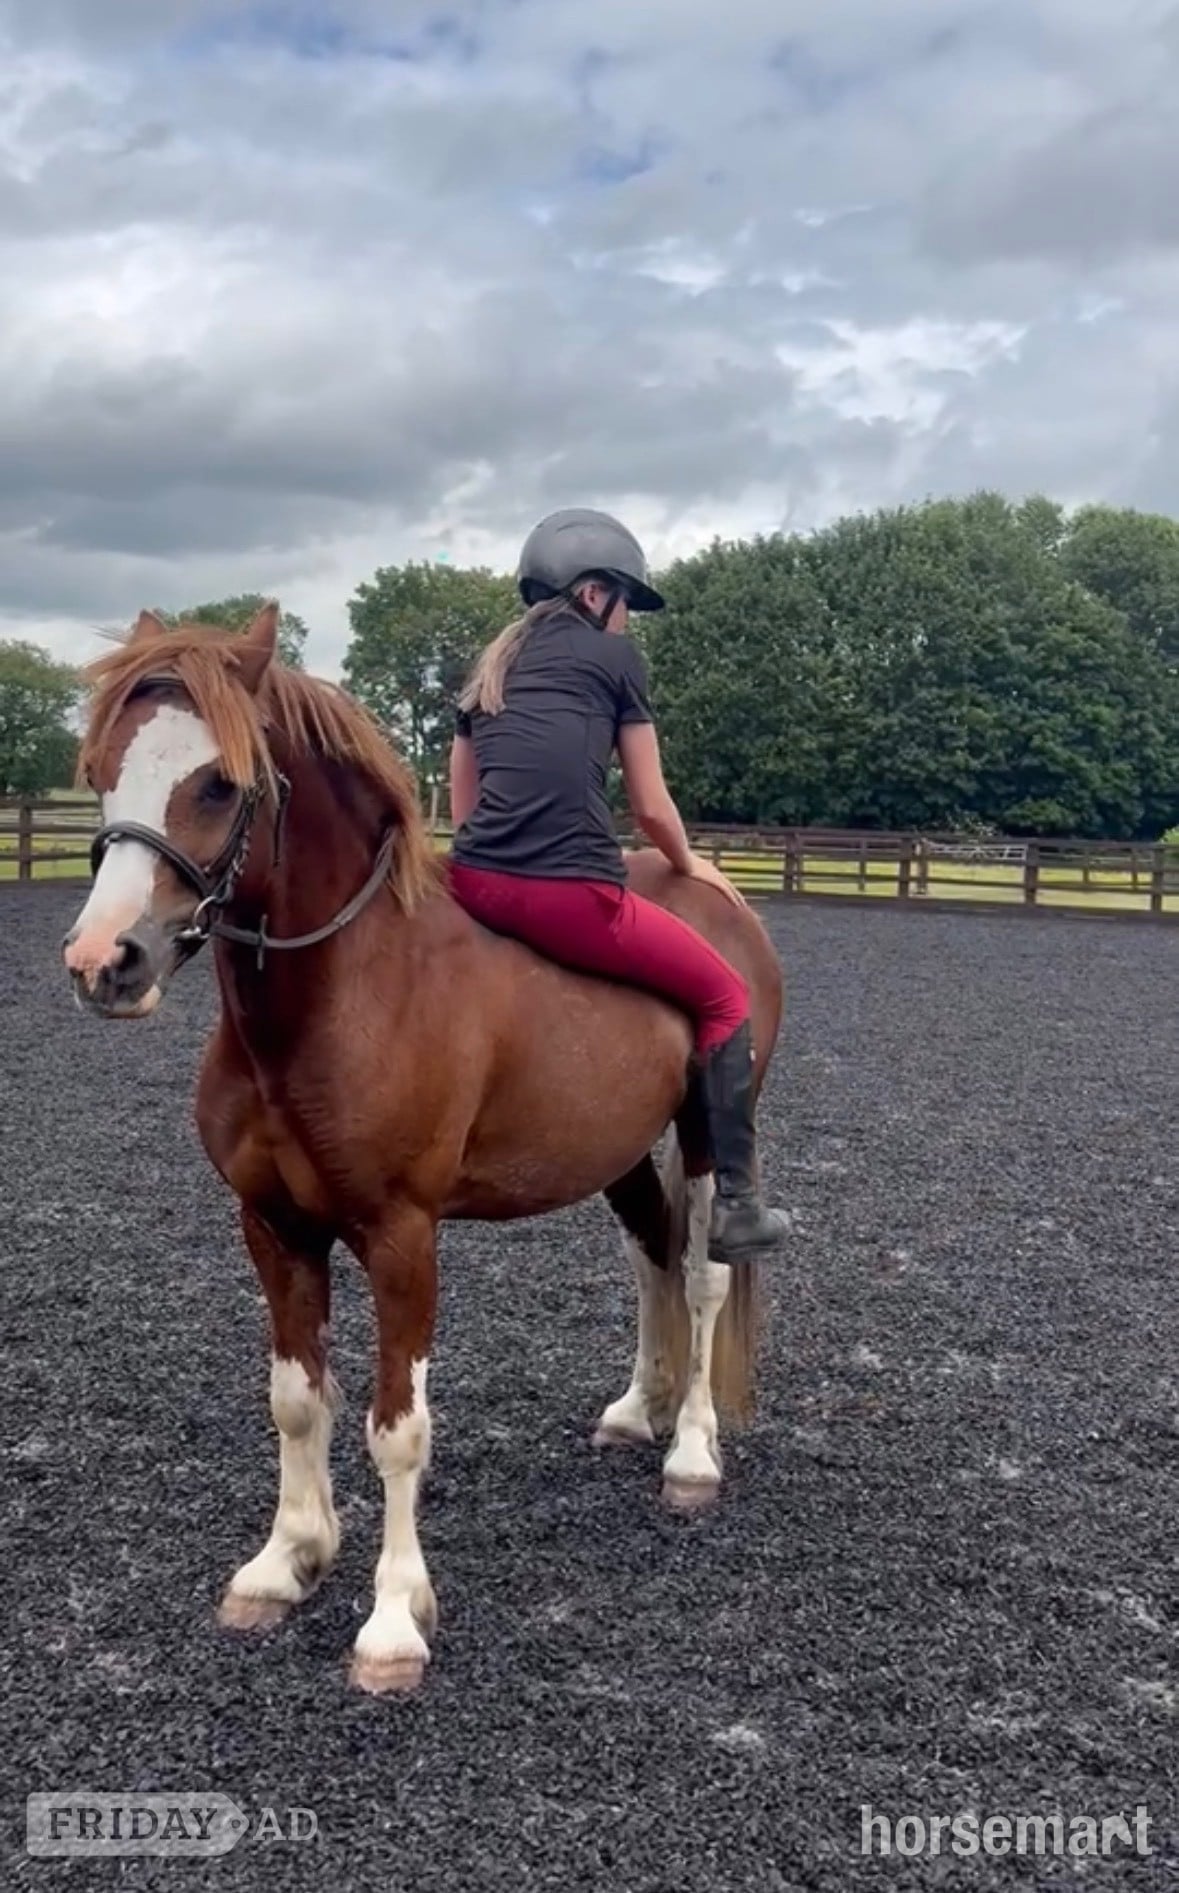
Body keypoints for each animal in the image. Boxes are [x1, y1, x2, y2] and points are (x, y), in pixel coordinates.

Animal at [60, 602, 785, 1694]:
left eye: (219, 782)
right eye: (103, 767)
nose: (105, 962)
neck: (344, 995)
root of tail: (717, 897)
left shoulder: (403, 1237)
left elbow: (397, 1430)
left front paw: (393, 1620)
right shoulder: (274, 1227)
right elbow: (297, 1401)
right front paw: (285, 1561)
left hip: (704, 1142)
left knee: (700, 1275)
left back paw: (691, 1451)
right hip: (616, 1157)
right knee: (652, 1260)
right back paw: (636, 1409)